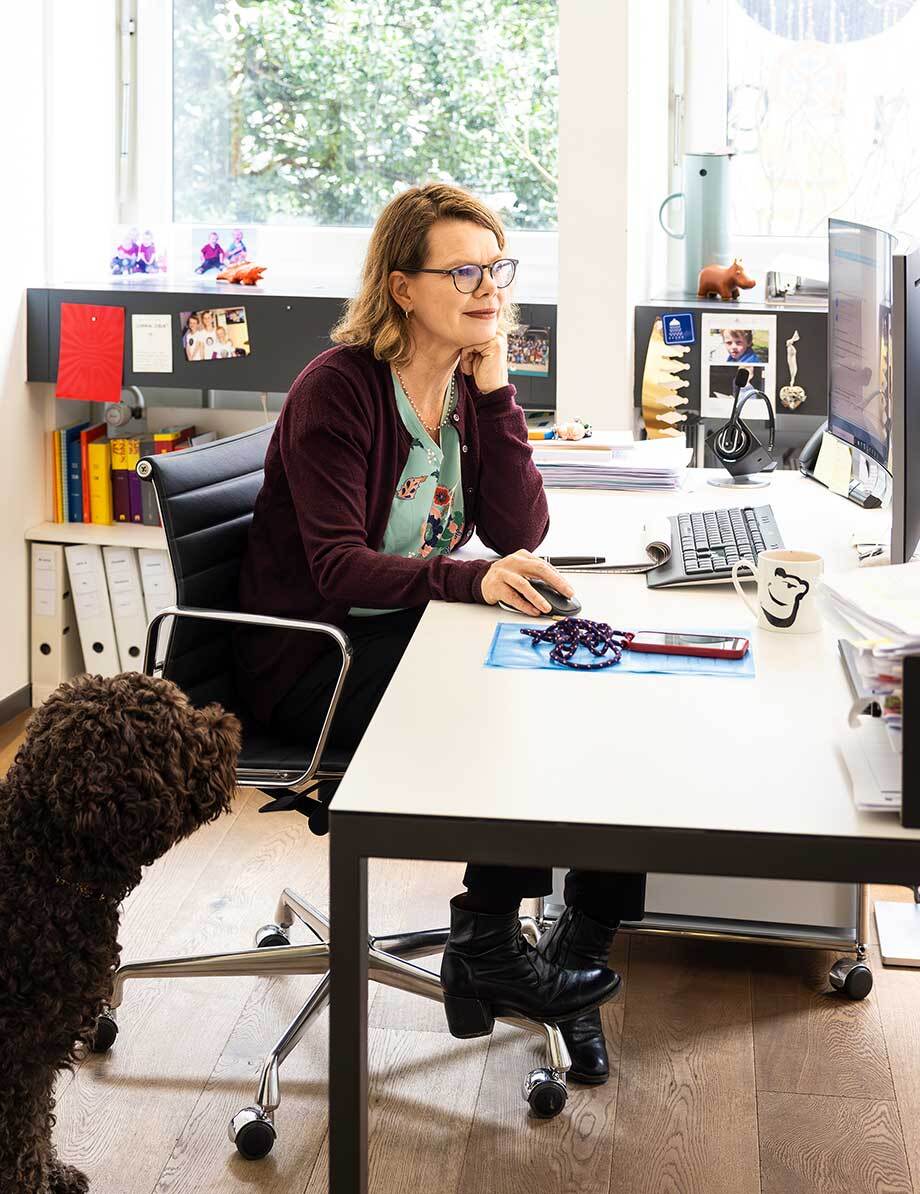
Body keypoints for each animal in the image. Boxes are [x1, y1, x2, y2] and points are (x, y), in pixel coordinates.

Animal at [0, 678, 241, 1189]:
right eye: (177, 727)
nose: (229, 723)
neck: (38, 862)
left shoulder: (38, 1052)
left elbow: (36, 1126)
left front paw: (53, 1173)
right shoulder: (17, 1057)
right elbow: (21, 1138)